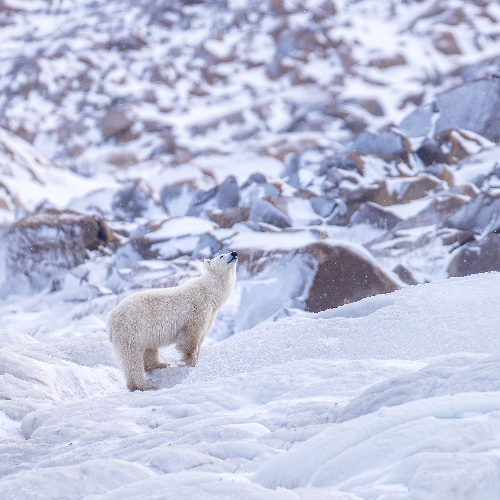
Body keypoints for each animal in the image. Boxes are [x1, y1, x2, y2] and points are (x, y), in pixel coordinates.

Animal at [109, 250, 238, 390]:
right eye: (221, 255)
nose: (234, 252)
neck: (209, 293)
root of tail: (111, 316)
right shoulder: (196, 311)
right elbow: (190, 340)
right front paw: (191, 363)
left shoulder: (210, 316)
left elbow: (201, 339)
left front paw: (197, 360)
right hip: (132, 327)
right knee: (132, 355)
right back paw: (144, 384)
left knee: (149, 350)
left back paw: (161, 364)